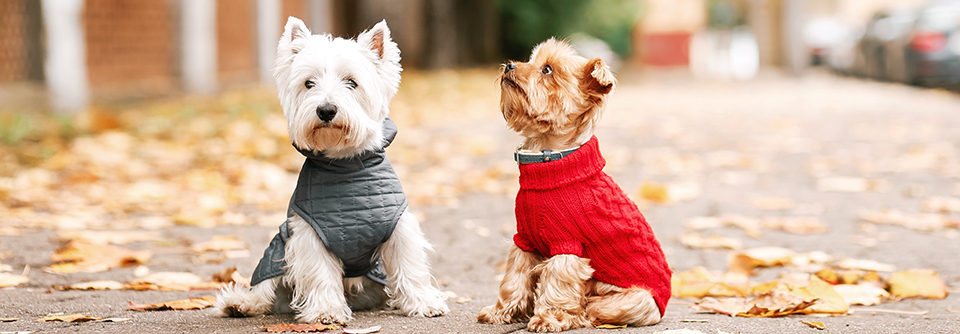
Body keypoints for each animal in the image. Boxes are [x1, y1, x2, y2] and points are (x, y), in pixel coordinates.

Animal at [216, 16, 448, 324]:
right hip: (277, 249)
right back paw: (240, 303)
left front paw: (423, 303)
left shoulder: (399, 227)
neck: (345, 167)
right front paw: (326, 310)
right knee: (265, 288)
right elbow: (320, 273)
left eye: (352, 82)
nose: (326, 110)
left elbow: (409, 265)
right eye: (308, 83)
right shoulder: (310, 233)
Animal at [476, 39, 672, 332]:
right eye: (530, 60)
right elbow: (514, 278)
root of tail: (663, 307)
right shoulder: (524, 241)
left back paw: (578, 315)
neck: (549, 161)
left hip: (633, 300)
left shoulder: (567, 246)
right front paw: (502, 312)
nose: (510, 65)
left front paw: (547, 318)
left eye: (547, 70)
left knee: (592, 308)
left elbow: (557, 284)